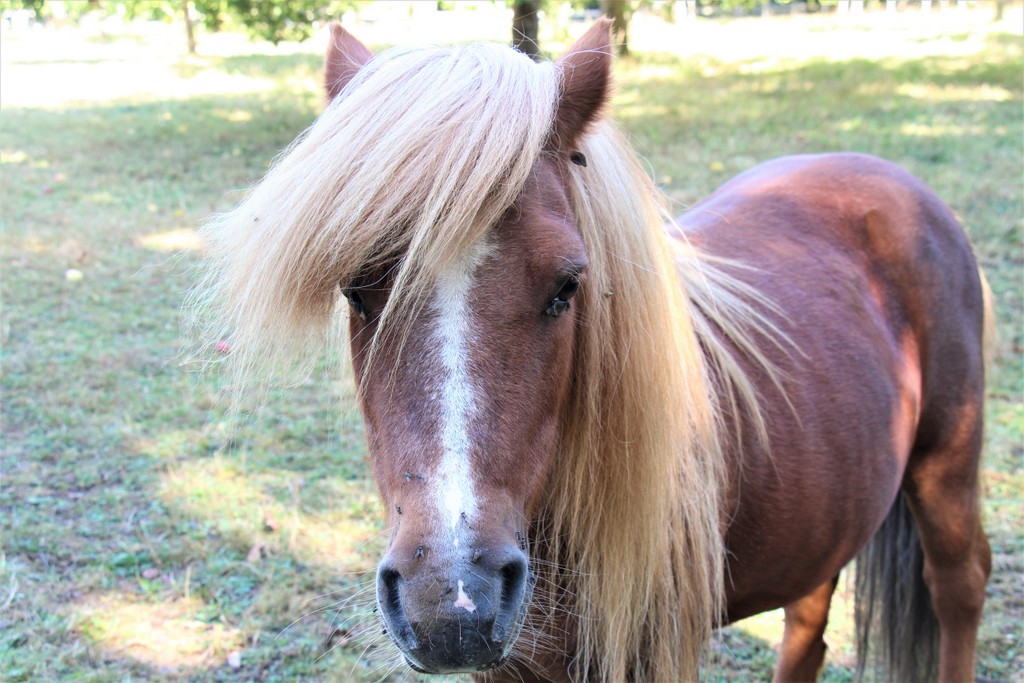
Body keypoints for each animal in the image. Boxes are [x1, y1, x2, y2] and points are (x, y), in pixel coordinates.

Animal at [186, 18, 991, 679]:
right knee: (809, 620)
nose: (452, 603)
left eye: (568, 284)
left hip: (945, 470)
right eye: (356, 291)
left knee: (959, 588)